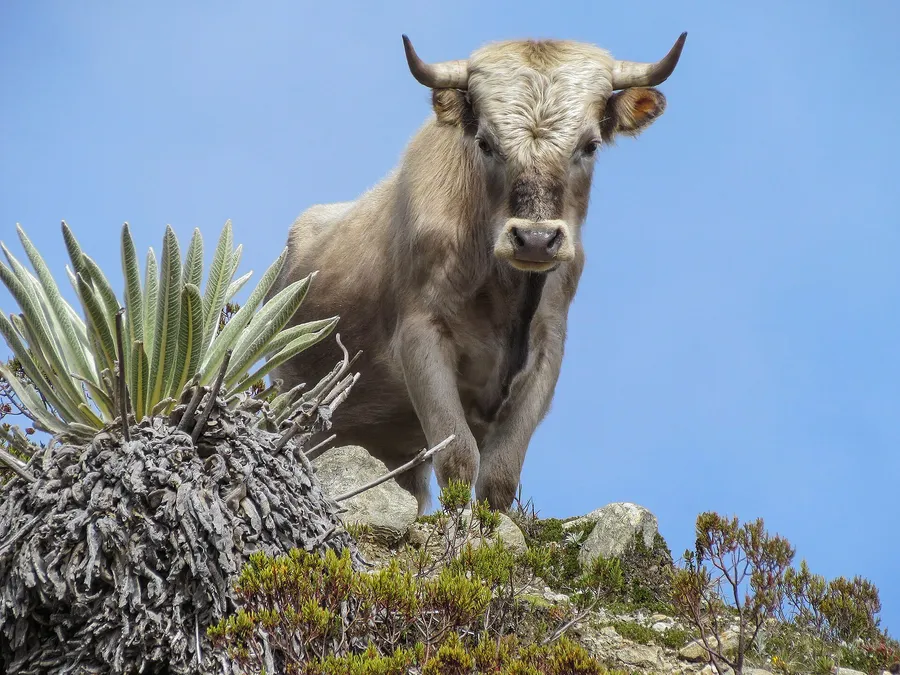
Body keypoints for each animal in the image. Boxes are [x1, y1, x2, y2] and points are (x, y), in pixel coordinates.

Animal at [267, 33, 687, 515]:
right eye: (486, 143)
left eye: (591, 144)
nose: (535, 239)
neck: (504, 295)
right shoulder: (421, 336)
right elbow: (458, 459)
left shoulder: (548, 349)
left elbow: (500, 476)